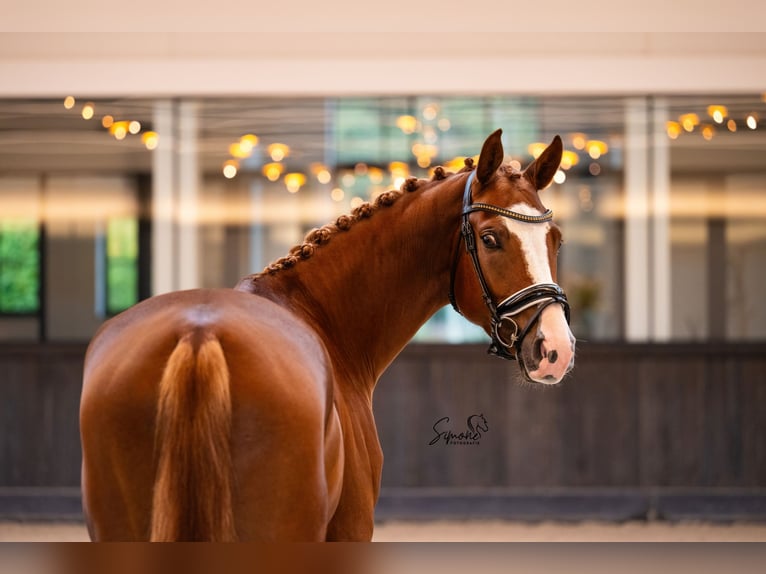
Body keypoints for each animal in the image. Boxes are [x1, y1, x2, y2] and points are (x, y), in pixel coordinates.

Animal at [81, 130, 580, 544]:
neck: (319, 314)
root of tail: (199, 334)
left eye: (556, 239)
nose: (555, 349)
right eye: (491, 238)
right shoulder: (351, 528)